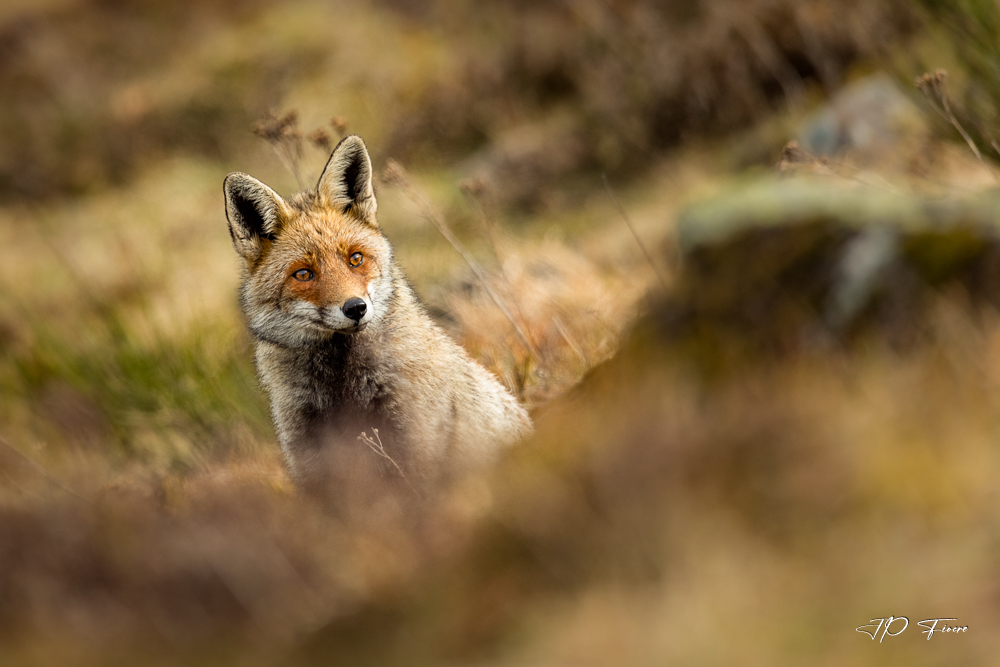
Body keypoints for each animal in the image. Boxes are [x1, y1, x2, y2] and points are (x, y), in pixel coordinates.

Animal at [223, 135, 532, 514]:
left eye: (355, 258)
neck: (344, 393)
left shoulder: (419, 454)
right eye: (304, 274)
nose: (355, 308)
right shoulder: (312, 466)